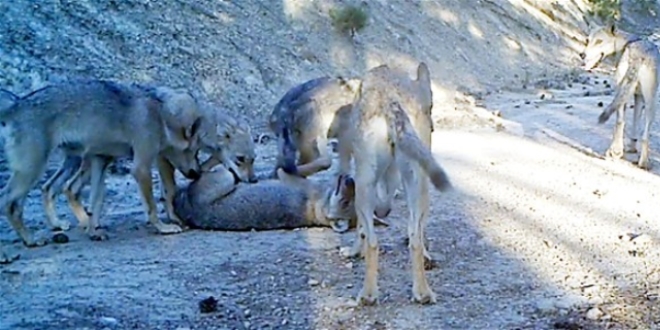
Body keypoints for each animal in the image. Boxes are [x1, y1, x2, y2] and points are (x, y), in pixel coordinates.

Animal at [0, 79, 204, 245]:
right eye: (196, 151)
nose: (198, 173)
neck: (160, 114)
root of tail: (17, 104)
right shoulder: (141, 168)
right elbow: (152, 207)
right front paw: (163, 228)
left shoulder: (101, 161)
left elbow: (95, 204)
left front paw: (93, 232)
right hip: (32, 171)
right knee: (10, 203)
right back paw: (29, 240)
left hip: (69, 163)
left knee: (49, 188)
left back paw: (57, 224)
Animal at [336, 62, 454, 306]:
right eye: (431, 107)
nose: (433, 126)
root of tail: (390, 101)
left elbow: (360, 231)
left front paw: (353, 251)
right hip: (417, 187)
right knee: (414, 239)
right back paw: (421, 293)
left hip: (369, 187)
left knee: (373, 241)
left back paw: (368, 294)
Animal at [580, 23, 656, 169]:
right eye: (587, 41)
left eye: (599, 41)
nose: (582, 54)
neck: (626, 43)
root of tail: (637, 54)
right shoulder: (639, 98)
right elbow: (637, 126)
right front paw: (632, 149)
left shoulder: (637, 97)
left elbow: (634, 124)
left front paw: (630, 148)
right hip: (650, 103)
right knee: (645, 134)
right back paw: (643, 162)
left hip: (624, 94)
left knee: (620, 122)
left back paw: (615, 152)